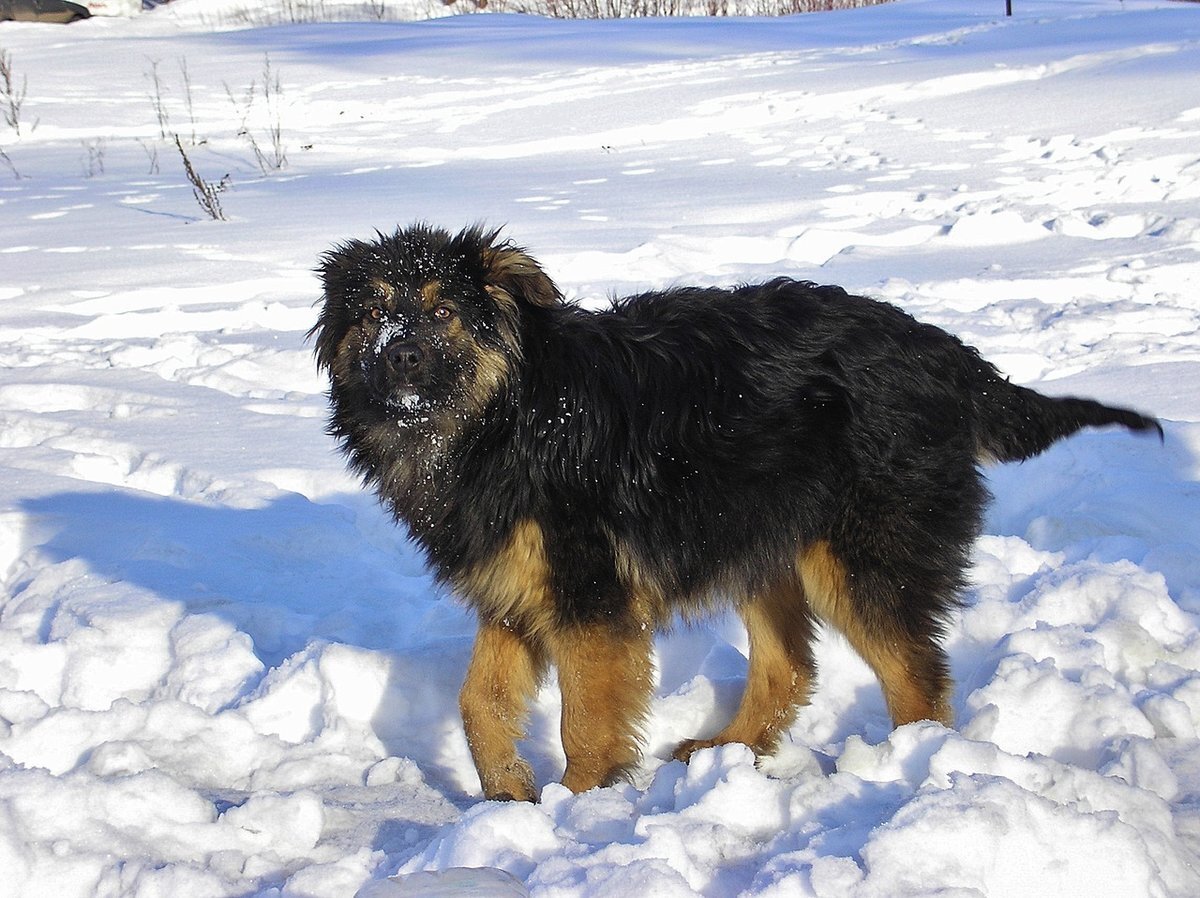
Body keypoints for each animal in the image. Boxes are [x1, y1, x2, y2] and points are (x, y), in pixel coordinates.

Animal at [312, 224, 1161, 801]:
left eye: (441, 313)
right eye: (372, 314)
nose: (399, 356)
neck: (508, 415)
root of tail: (949, 355)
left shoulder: (590, 599)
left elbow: (584, 720)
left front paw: (578, 810)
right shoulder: (517, 592)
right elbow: (478, 704)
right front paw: (509, 795)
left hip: (854, 556)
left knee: (916, 675)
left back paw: (912, 775)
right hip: (760, 539)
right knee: (791, 667)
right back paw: (725, 752)